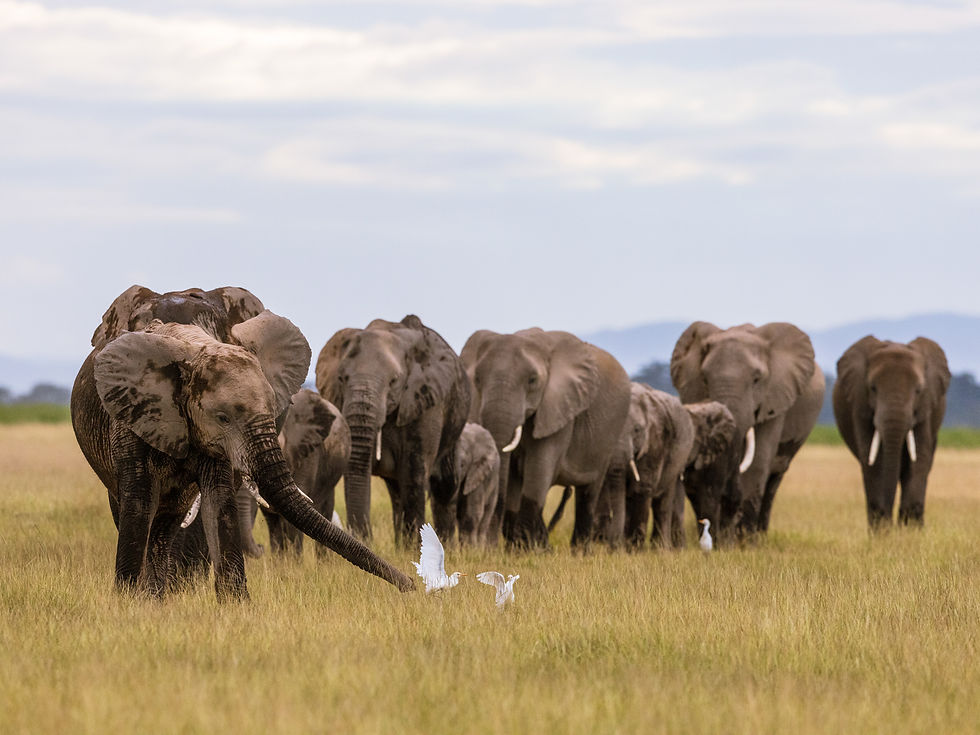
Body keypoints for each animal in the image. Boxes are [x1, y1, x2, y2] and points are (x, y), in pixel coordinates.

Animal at [239, 389, 351, 557]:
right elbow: (272, 519)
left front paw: (294, 561)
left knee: (325, 508)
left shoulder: (307, 454)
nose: (260, 546)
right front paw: (280, 560)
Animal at [315, 315, 471, 546]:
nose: (364, 537)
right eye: (342, 379)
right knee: (397, 491)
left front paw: (416, 547)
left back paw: (444, 545)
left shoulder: (424, 401)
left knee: (445, 485)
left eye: (394, 381)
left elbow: (414, 472)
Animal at [460, 328, 631, 549]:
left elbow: (539, 467)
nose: (489, 546)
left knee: (588, 492)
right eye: (478, 380)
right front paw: (520, 548)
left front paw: (524, 550)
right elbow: (514, 477)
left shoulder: (560, 408)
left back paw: (579, 551)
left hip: (610, 435)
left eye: (532, 380)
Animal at [670, 322, 825, 541]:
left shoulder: (775, 399)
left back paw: (759, 538)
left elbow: (758, 461)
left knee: (773, 480)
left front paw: (744, 541)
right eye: (705, 379)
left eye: (756, 380)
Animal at [832, 336, 950, 528]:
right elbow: (873, 460)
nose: (891, 524)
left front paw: (910, 533)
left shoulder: (925, 410)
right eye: (873, 388)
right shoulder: (860, 406)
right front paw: (883, 532)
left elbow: (919, 458)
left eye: (918, 390)